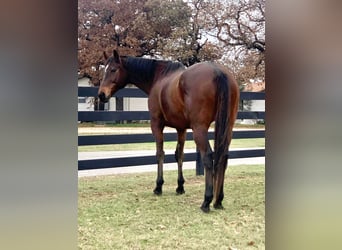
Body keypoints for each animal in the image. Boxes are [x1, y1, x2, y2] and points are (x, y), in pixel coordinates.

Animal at [97, 49, 239, 213]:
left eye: (113, 70)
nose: (101, 94)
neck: (158, 78)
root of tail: (218, 71)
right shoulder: (181, 129)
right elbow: (179, 155)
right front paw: (180, 186)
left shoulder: (156, 124)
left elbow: (160, 154)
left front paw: (158, 186)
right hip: (227, 127)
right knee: (224, 157)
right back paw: (218, 201)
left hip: (200, 129)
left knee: (209, 157)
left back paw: (206, 201)